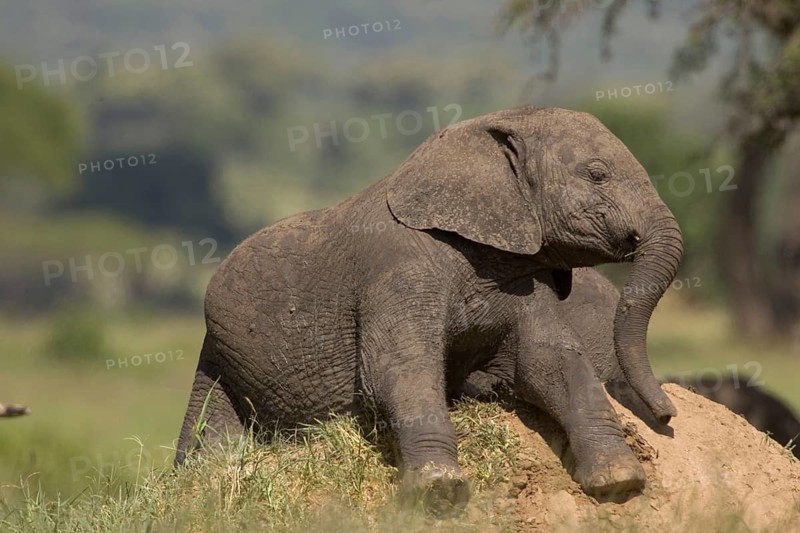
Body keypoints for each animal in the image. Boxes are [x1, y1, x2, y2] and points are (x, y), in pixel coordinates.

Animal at [175, 106, 684, 512]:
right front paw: (439, 492)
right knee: (214, 434)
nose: (667, 416)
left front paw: (619, 481)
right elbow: (399, 368)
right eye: (596, 173)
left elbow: (550, 359)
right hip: (221, 357)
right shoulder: (397, 270)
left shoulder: (520, 276)